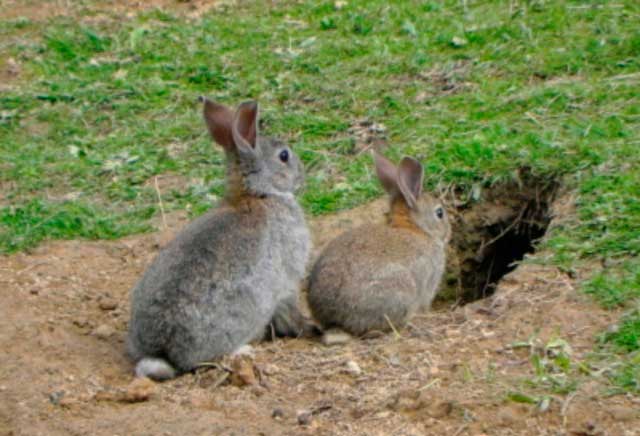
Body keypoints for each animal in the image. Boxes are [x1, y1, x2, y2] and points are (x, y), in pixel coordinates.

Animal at [126, 98, 312, 378]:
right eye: (283, 156)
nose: (301, 173)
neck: (257, 194)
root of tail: (163, 352)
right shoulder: (287, 276)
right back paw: (244, 350)